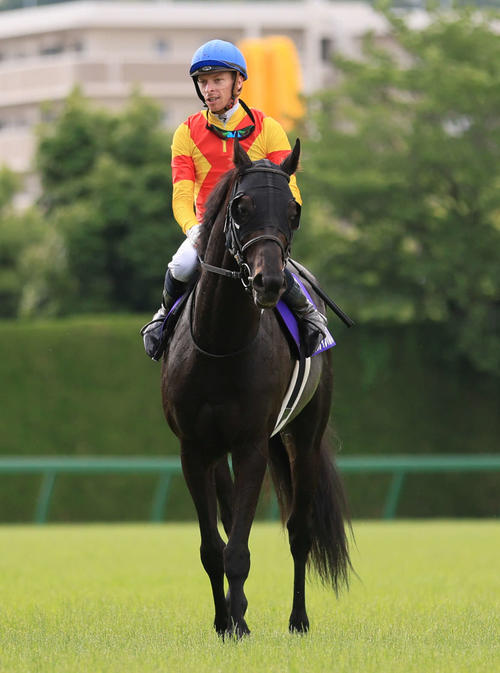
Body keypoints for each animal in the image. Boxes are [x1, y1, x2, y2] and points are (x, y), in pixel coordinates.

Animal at [161, 138, 351, 637]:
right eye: (241, 206)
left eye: (293, 211)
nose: (270, 282)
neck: (220, 345)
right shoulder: (195, 449)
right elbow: (214, 548)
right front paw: (225, 620)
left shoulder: (251, 445)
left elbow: (239, 551)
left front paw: (240, 625)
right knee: (231, 523)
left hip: (303, 438)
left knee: (300, 532)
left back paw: (298, 619)